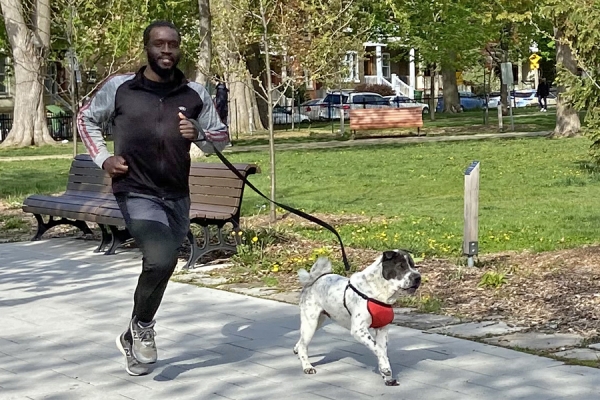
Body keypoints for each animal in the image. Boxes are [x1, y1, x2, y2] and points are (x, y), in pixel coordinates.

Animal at [292, 250, 420, 384]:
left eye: (414, 266)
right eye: (401, 266)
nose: (418, 277)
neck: (377, 291)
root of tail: (314, 279)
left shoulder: (382, 329)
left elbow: (382, 350)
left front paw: (386, 374)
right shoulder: (359, 330)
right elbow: (378, 348)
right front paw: (385, 369)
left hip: (318, 322)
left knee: (301, 341)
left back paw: (297, 350)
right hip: (310, 322)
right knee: (303, 345)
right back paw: (307, 367)